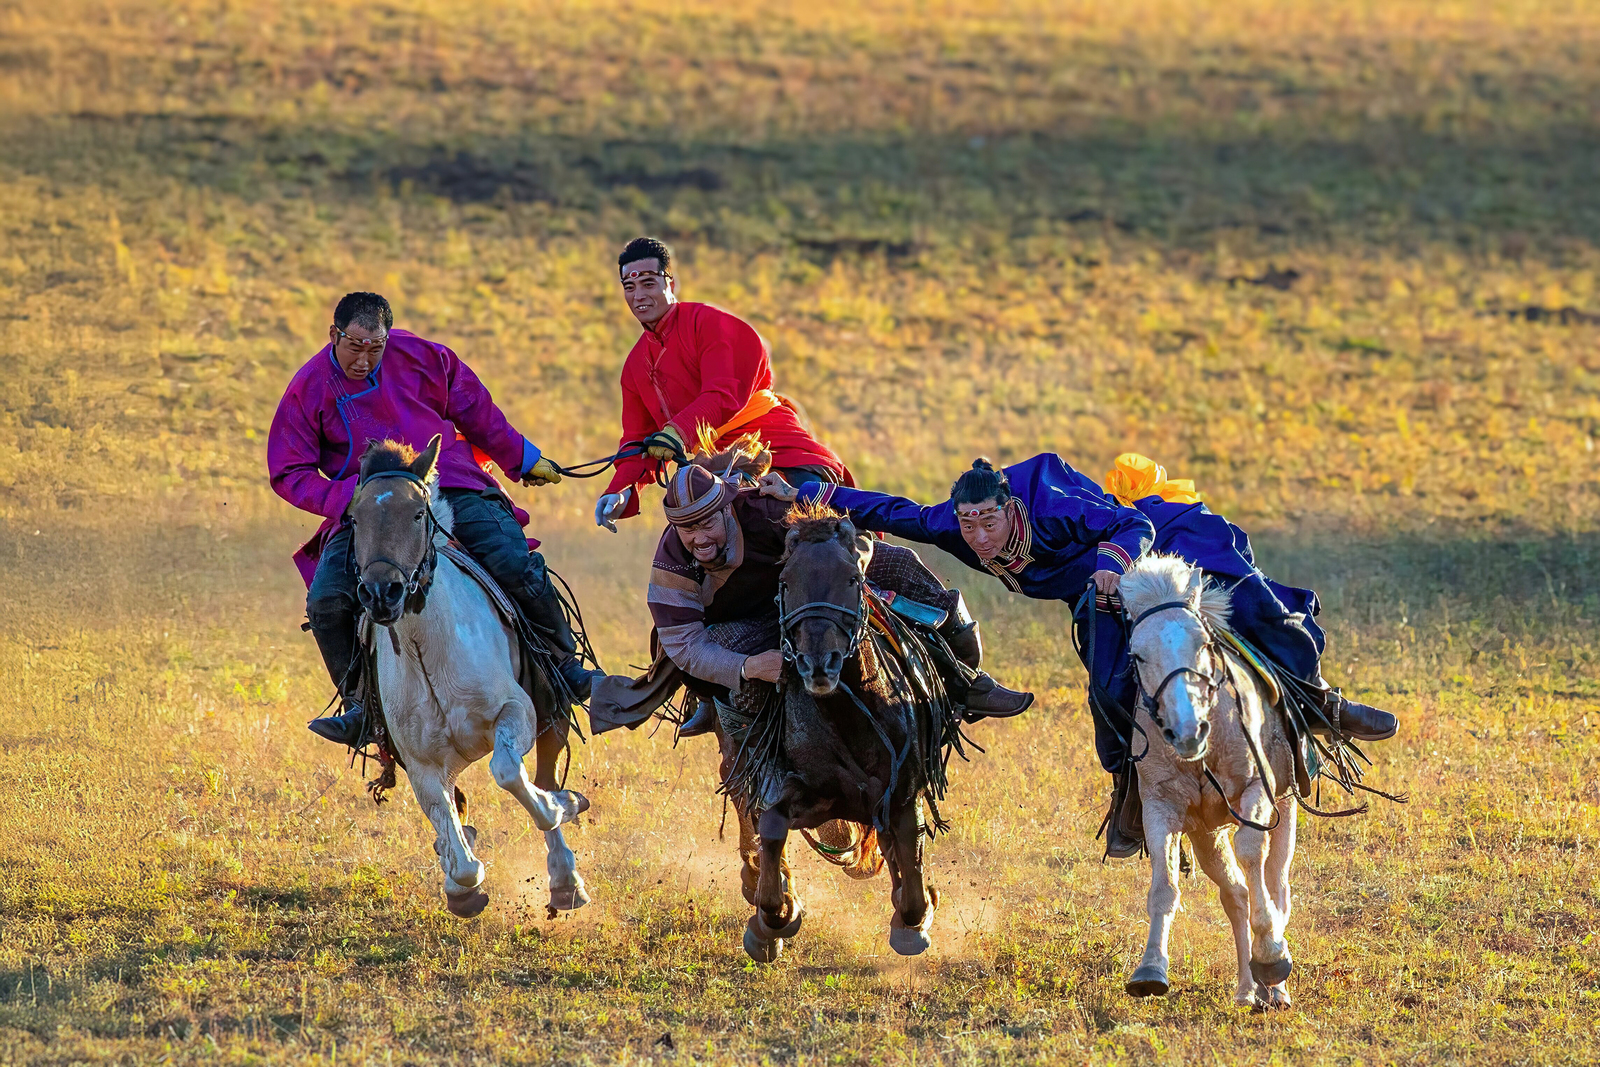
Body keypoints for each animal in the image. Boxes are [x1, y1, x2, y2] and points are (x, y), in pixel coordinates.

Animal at [348, 435, 590, 919]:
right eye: (355, 517)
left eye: (417, 514)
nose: (382, 593)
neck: (427, 649)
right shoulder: (420, 765)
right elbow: (456, 847)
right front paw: (462, 876)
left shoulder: (517, 713)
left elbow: (512, 776)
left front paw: (566, 805)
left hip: (550, 715)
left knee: (543, 776)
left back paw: (564, 878)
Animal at [723, 504, 946, 963]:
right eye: (786, 581)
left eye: (852, 579)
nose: (818, 665)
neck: (848, 720)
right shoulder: (798, 792)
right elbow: (771, 828)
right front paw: (774, 917)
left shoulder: (901, 794)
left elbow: (910, 866)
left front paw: (914, 919)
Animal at [1116, 553, 1297, 1010]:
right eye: (1137, 655)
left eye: (1203, 643)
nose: (1188, 731)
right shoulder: (1160, 808)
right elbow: (1164, 887)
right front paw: (1150, 969)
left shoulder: (1257, 793)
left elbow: (1252, 853)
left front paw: (1272, 954)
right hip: (1206, 835)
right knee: (1236, 896)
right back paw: (1248, 990)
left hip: (1285, 810)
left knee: (1275, 886)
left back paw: (1275, 986)